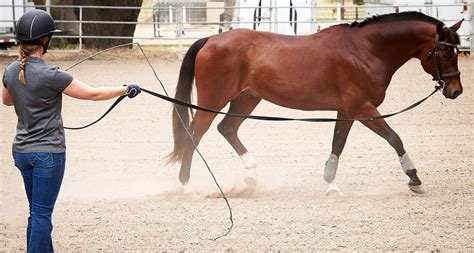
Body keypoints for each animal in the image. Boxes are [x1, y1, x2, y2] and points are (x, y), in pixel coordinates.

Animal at [168, 11, 462, 194]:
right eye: (447, 53)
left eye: (458, 51)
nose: (456, 90)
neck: (365, 50)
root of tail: (211, 39)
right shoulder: (363, 108)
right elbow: (394, 138)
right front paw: (414, 178)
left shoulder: (347, 111)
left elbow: (338, 144)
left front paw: (331, 184)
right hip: (215, 99)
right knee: (194, 134)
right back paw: (185, 185)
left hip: (247, 98)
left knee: (227, 128)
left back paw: (250, 174)